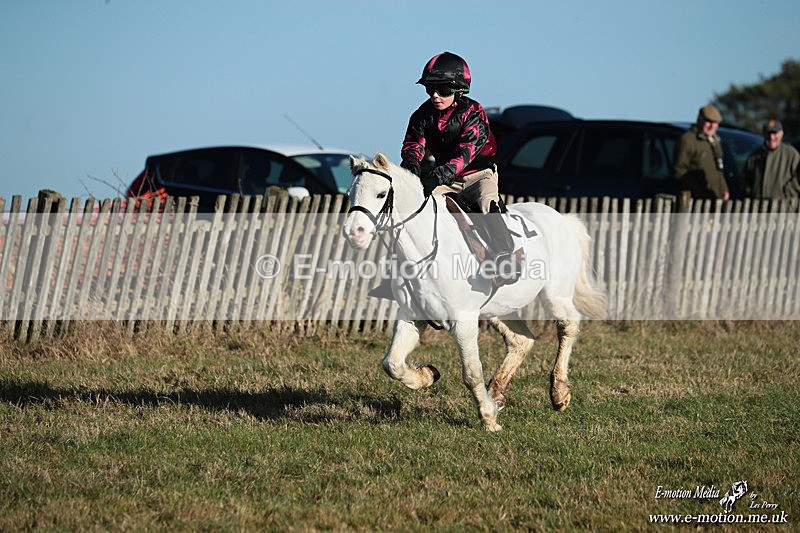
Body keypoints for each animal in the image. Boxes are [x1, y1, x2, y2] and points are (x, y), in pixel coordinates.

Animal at [342, 153, 607, 431]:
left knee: (568, 325)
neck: (426, 248)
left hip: (555, 296)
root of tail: (562, 219)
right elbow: (392, 364)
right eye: (350, 194)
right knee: (521, 340)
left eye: (381, 194)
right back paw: (497, 393)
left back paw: (558, 393)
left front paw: (488, 418)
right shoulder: (412, 315)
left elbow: (471, 373)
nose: (354, 234)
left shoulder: (463, 320)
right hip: (500, 307)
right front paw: (427, 375)